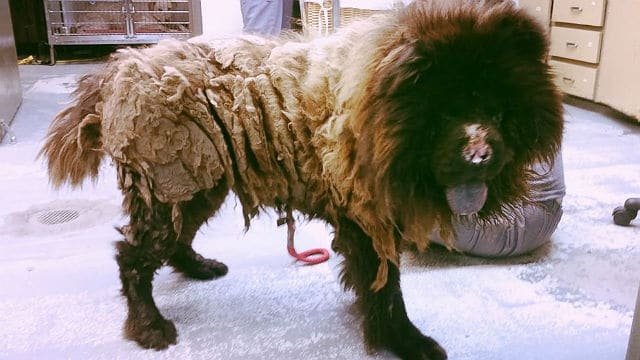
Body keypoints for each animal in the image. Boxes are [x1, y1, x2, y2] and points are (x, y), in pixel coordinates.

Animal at [40, 1, 560, 358]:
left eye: (499, 111)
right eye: (445, 114)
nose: (481, 156)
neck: (375, 103)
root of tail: (118, 69)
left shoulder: (369, 220)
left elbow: (375, 283)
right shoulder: (368, 219)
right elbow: (388, 289)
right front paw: (403, 340)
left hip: (197, 185)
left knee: (175, 240)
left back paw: (199, 267)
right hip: (172, 183)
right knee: (133, 258)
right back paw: (149, 326)